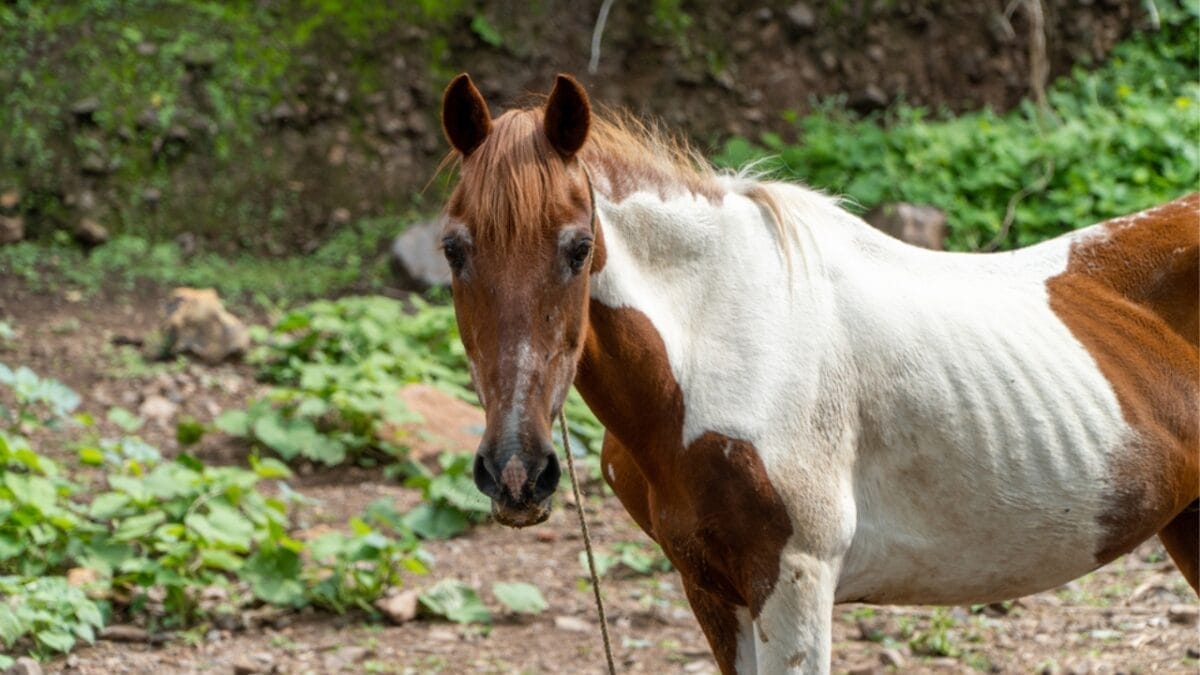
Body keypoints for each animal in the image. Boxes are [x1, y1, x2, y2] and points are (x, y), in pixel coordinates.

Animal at [437, 72, 1199, 674]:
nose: (515, 472)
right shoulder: (710, 588)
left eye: (578, 246)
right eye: (452, 248)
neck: (716, 342)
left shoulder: (795, 583)